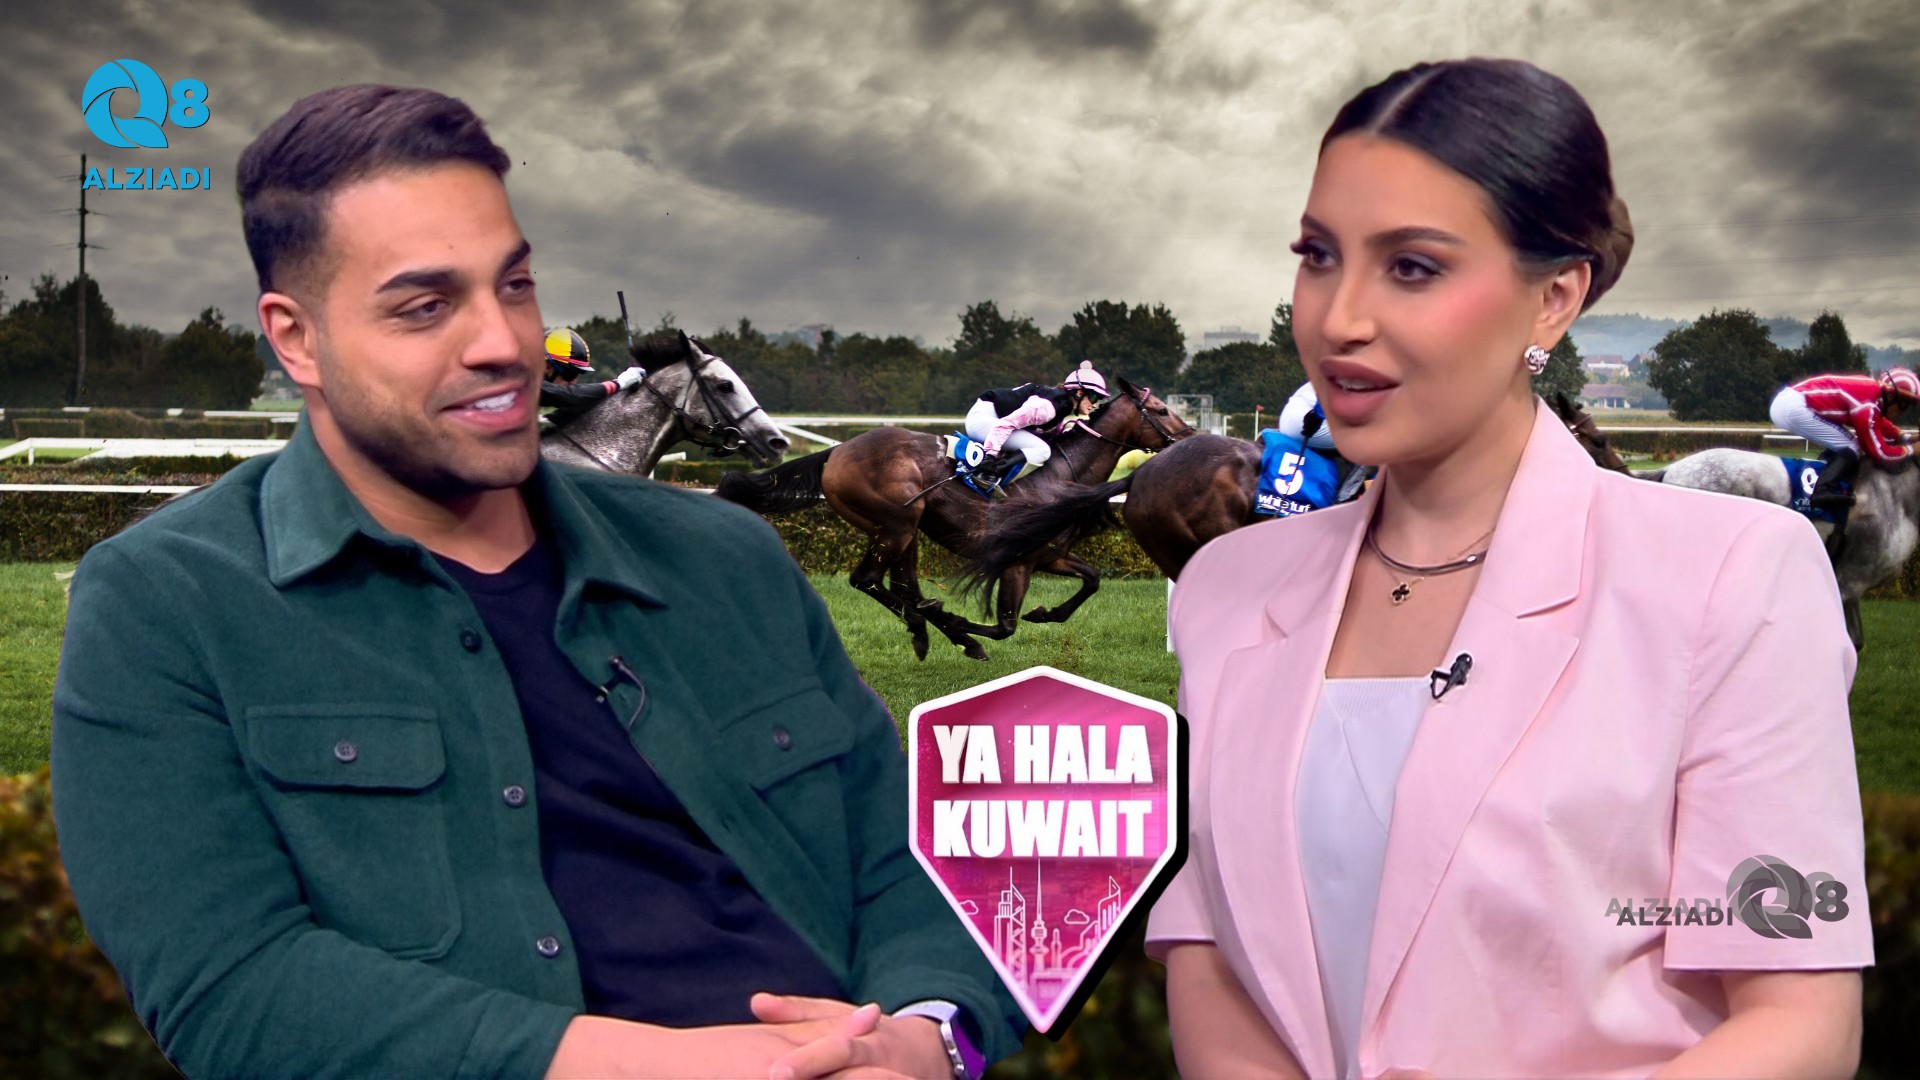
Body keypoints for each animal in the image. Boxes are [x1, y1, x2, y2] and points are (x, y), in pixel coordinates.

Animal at [714, 377, 1192, 661]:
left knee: (903, 586)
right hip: (897, 522)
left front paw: (1046, 613)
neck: (1060, 477)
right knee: (868, 580)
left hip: (903, 531)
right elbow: (1004, 627)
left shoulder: (1048, 555)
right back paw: (946, 631)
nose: (1190, 437)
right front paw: (969, 626)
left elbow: (1091, 579)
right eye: (1162, 409)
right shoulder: (1016, 562)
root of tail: (837, 450)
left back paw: (927, 629)